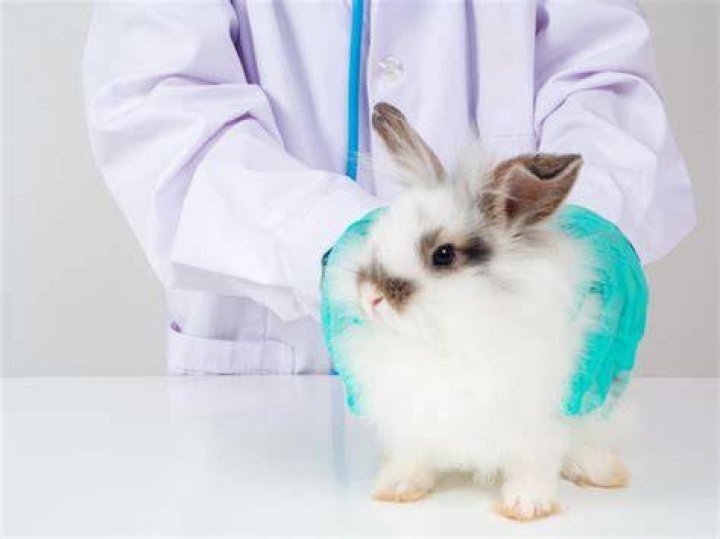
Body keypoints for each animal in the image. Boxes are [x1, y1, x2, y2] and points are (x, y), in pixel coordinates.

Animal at [331, 103, 630, 522]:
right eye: (377, 236)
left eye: (443, 254)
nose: (371, 296)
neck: (448, 338)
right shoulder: (413, 415)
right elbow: (412, 455)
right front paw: (398, 489)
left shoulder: (539, 416)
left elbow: (533, 463)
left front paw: (525, 506)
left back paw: (598, 471)